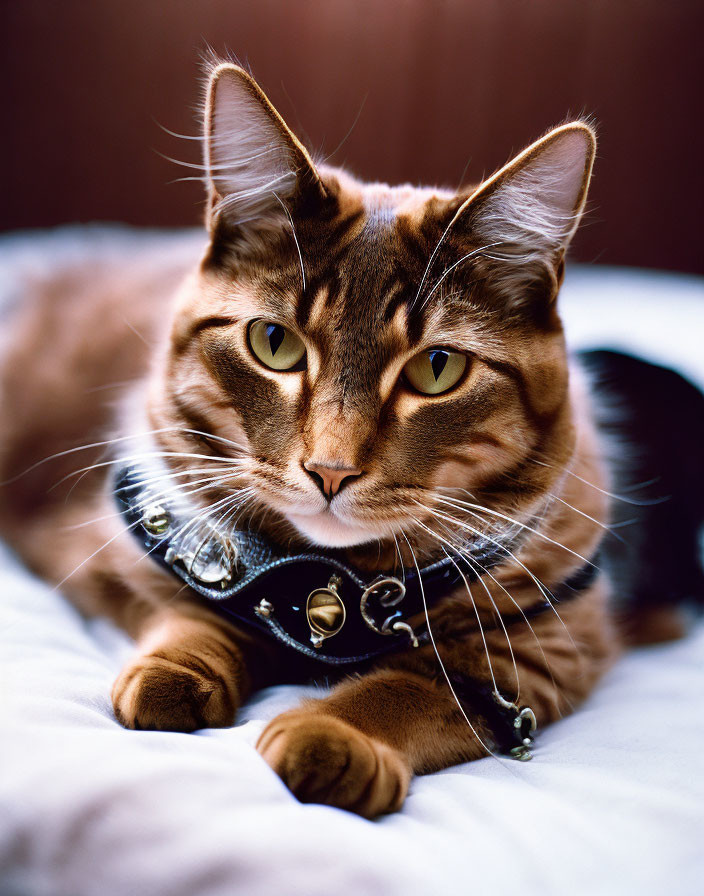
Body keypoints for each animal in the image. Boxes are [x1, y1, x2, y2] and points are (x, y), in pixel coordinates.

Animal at [0, 63, 700, 820]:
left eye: (437, 368)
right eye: (273, 343)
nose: (329, 470)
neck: (329, 588)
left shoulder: (538, 657)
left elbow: (412, 687)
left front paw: (331, 735)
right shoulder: (109, 553)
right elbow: (193, 607)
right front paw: (174, 670)